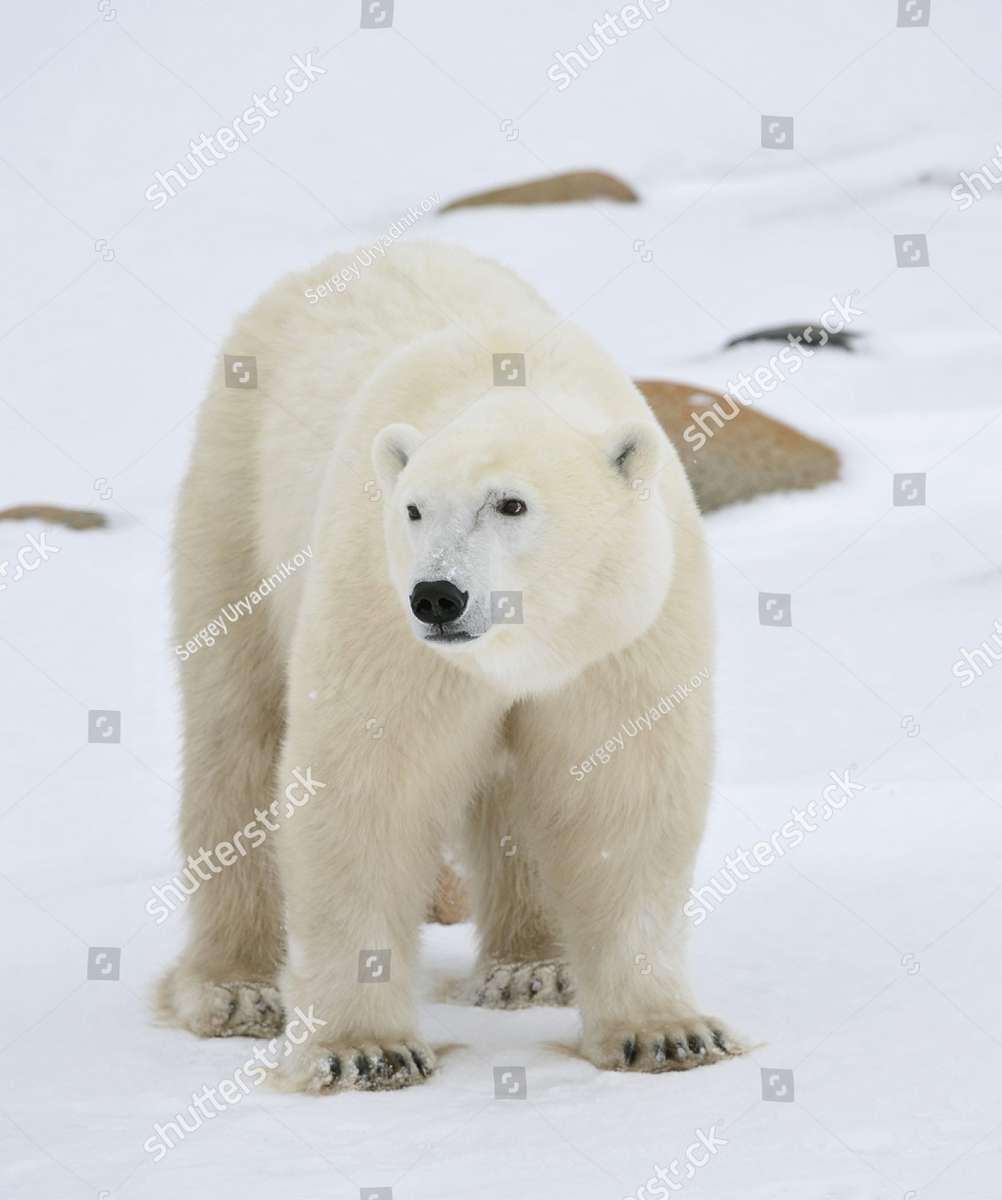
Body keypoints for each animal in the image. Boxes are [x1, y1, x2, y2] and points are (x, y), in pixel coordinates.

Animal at [160, 241, 739, 1089]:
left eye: (511, 504)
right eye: (413, 509)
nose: (438, 596)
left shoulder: (624, 637)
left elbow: (621, 795)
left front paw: (666, 1034)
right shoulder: (380, 618)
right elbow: (367, 788)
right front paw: (365, 1049)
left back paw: (531, 966)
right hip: (235, 496)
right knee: (235, 734)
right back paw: (234, 990)